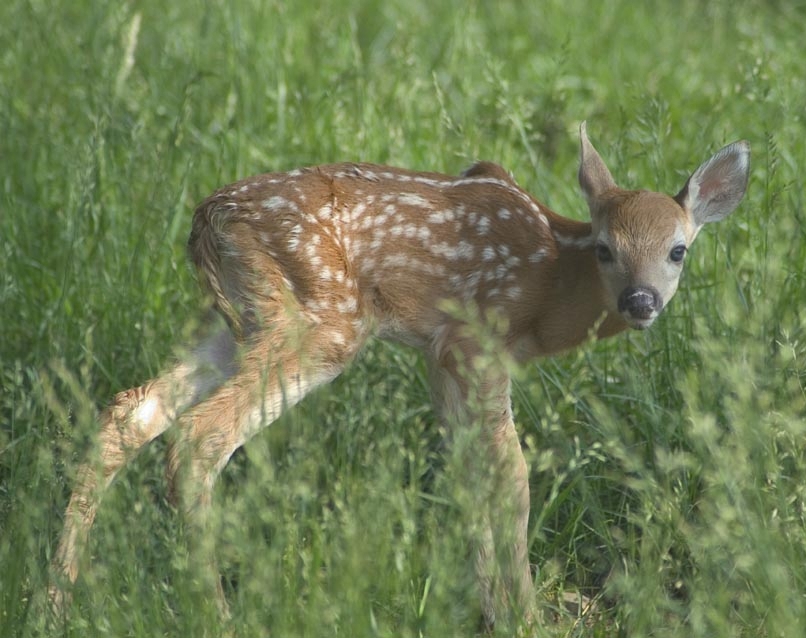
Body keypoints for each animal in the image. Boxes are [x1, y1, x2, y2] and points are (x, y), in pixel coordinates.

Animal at [52, 124, 752, 632]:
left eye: (678, 250)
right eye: (608, 248)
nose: (641, 301)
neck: (550, 285)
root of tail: (206, 219)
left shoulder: (441, 358)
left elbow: (467, 477)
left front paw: (490, 611)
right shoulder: (480, 340)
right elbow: (512, 478)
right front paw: (527, 617)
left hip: (238, 320)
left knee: (131, 413)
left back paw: (55, 598)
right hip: (321, 322)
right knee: (199, 438)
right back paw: (217, 616)